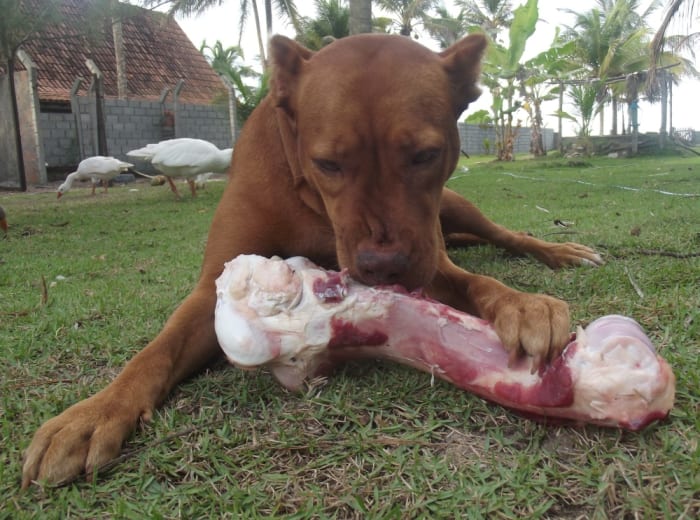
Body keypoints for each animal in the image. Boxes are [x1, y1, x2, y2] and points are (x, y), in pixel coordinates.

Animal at [21, 32, 600, 488]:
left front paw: (523, 307)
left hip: (457, 207)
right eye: (328, 163)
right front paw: (93, 413)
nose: (383, 266)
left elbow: (478, 283)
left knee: (505, 235)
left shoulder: (430, 261)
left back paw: (560, 250)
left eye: (425, 155)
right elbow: (154, 353)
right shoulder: (211, 286)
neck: (308, 195)